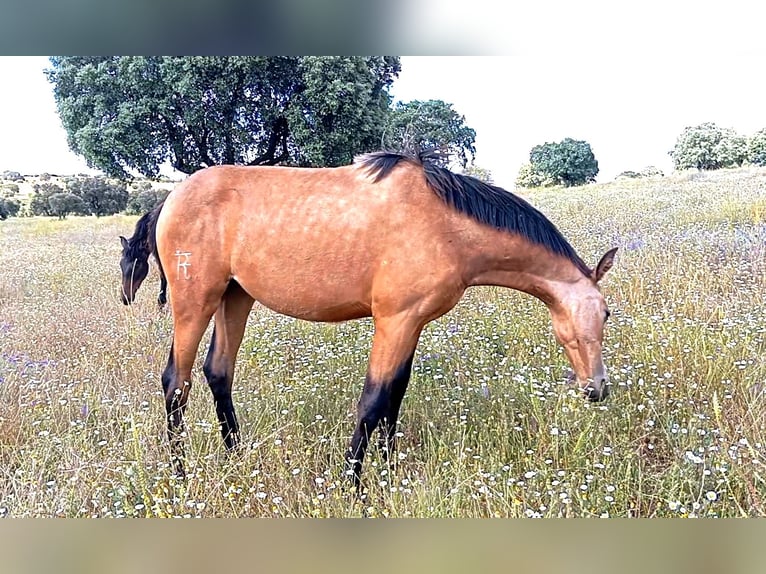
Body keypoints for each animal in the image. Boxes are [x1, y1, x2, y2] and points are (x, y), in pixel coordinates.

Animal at [152, 151, 616, 484]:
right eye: (606, 313)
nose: (598, 388)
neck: (444, 224)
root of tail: (170, 199)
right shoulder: (394, 321)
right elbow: (373, 400)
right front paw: (352, 483)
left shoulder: (413, 324)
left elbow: (395, 395)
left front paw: (390, 473)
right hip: (195, 302)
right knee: (176, 382)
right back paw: (180, 474)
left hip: (235, 298)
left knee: (218, 372)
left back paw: (236, 456)